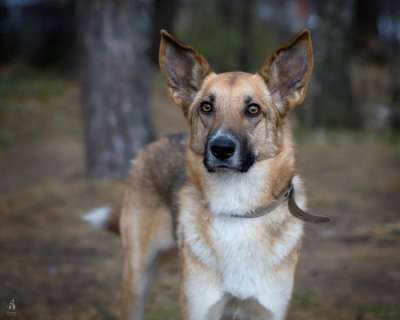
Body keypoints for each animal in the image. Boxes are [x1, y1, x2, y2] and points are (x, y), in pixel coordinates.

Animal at [82, 28, 328, 318]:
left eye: (253, 109)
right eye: (207, 107)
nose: (221, 148)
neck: (238, 210)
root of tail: (154, 143)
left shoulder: (267, 310)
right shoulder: (199, 308)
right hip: (136, 278)